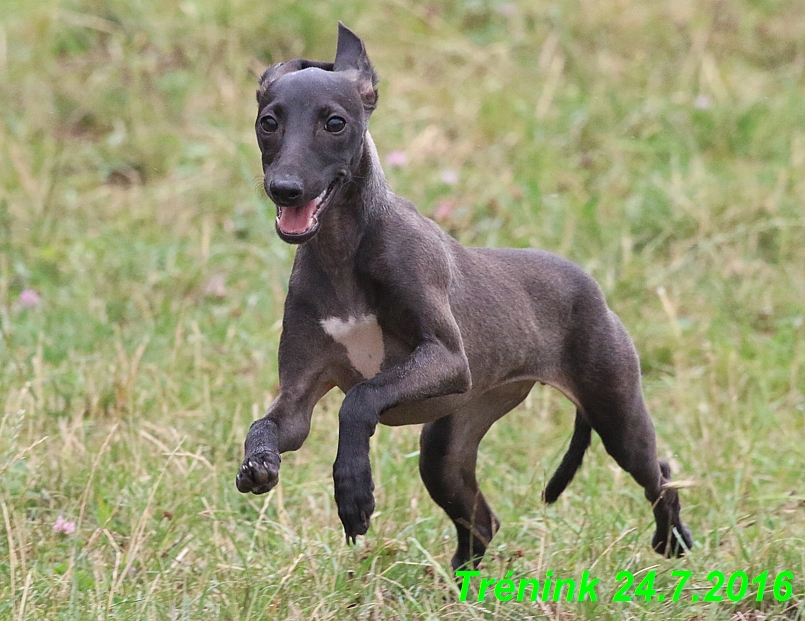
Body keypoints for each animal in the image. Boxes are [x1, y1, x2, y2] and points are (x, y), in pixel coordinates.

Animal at [234, 23, 692, 568]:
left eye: (335, 123)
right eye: (268, 122)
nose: (285, 189)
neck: (344, 251)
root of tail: (592, 287)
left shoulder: (446, 358)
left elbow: (359, 400)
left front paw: (353, 490)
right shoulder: (299, 398)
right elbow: (265, 425)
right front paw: (259, 465)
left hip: (615, 412)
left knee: (660, 474)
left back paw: (672, 540)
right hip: (451, 443)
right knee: (482, 524)